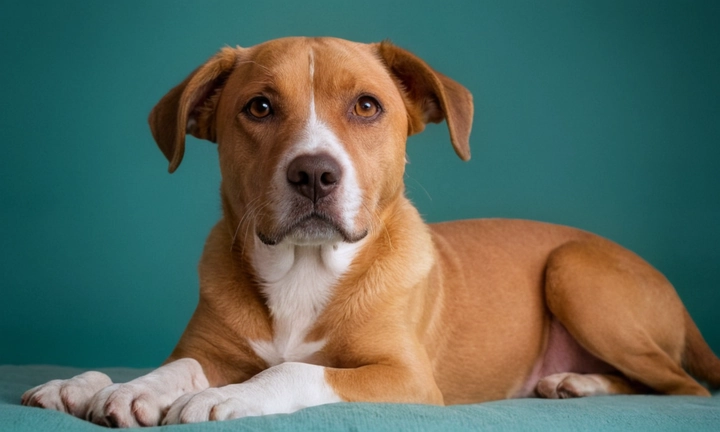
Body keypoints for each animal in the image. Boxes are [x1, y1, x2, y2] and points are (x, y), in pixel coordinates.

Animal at [19, 36, 716, 426]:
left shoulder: (406, 378)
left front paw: (230, 398)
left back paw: (583, 382)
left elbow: (298, 372)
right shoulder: (209, 349)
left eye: (367, 106)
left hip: (573, 272)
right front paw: (110, 387)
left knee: (682, 386)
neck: (305, 268)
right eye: (259, 107)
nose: (314, 174)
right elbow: (176, 366)